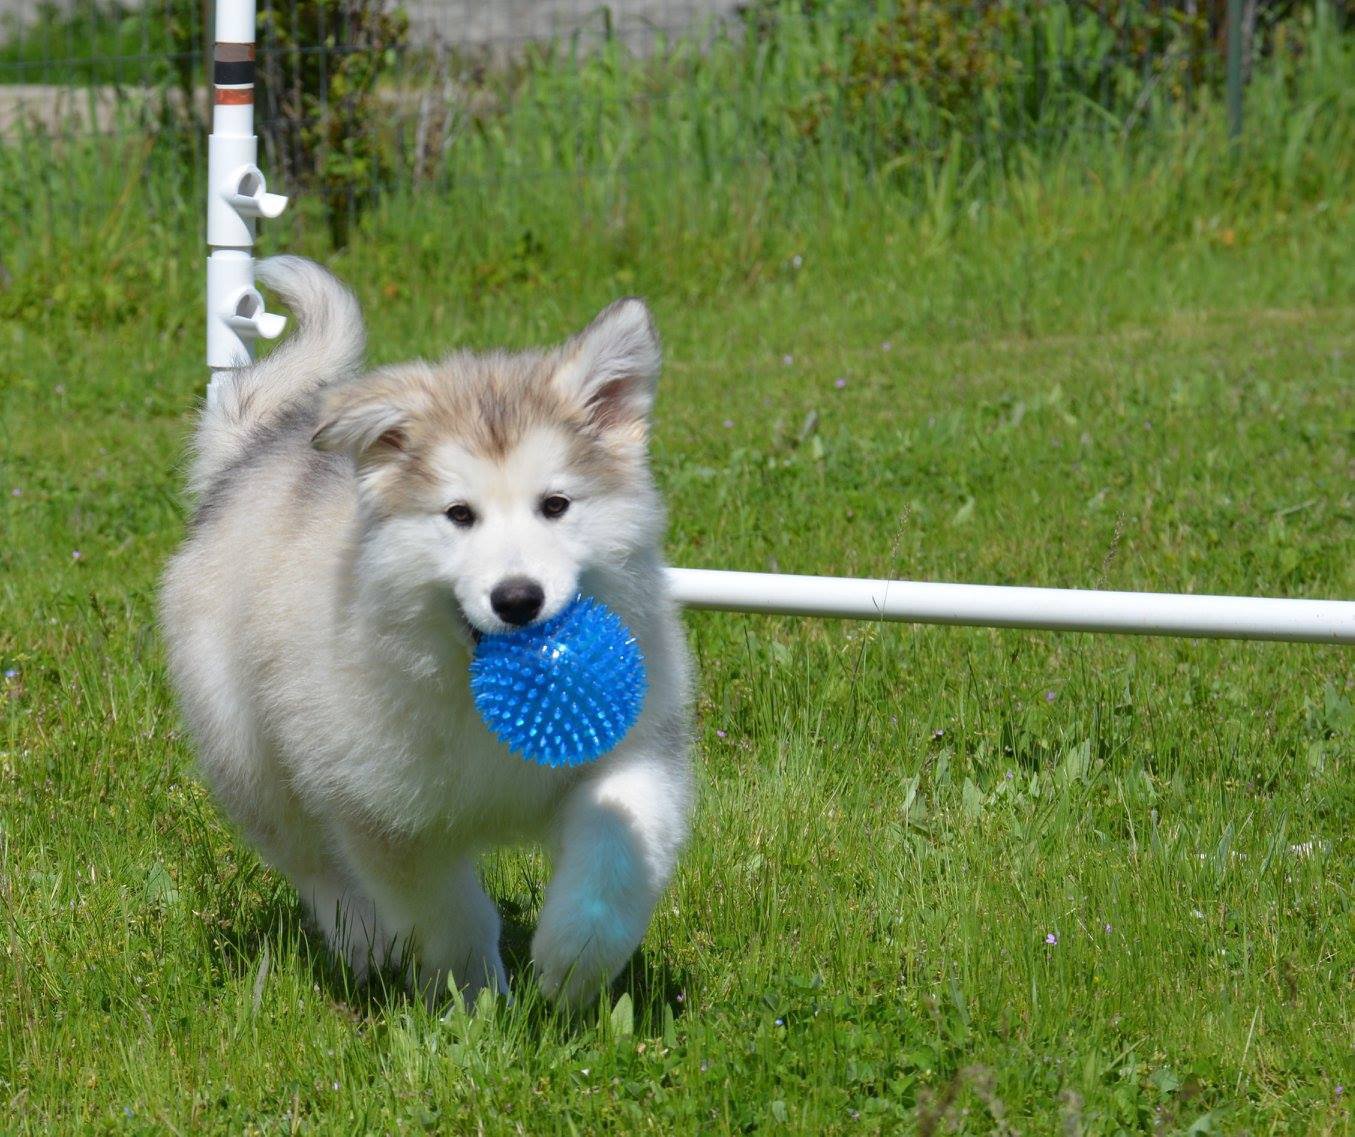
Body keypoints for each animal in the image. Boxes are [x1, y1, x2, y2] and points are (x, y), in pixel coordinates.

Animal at [162, 262, 693, 1008]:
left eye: (555, 505)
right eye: (458, 515)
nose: (518, 599)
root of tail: (249, 455)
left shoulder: (638, 747)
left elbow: (617, 846)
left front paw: (571, 961)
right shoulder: (386, 815)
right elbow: (450, 915)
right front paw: (479, 1000)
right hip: (251, 755)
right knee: (312, 862)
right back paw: (366, 942)